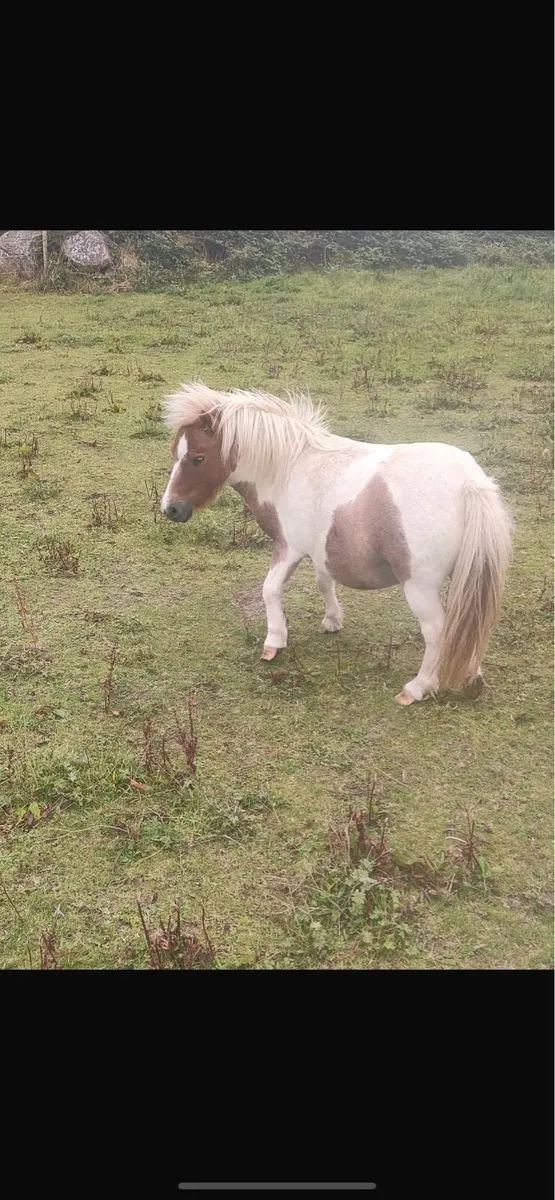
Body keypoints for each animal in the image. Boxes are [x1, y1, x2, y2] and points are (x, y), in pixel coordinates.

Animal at [160, 383, 512, 705]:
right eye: (176, 454)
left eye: (198, 458)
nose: (171, 509)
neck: (288, 467)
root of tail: (470, 483)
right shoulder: (320, 549)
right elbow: (324, 581)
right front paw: (332, 621)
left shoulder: (288, 547)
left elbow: (270, 590)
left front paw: (275, 642)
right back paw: (471, 677)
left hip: (420, 587)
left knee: (438, 631)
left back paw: (418, 687)